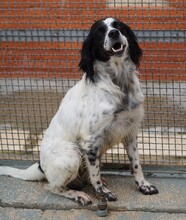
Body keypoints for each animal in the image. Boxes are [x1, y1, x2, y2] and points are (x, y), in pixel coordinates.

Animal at [0, 17, 158, 206]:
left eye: (118, 26)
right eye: (100, 32)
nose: (113, 33)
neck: (118, 83)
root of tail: (40, 165)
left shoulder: (130, 131)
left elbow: (136, 165)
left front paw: (143, 185)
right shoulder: (90, 141)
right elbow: (95, 174)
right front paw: (103, 194)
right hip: (72, 154)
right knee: (53, 187)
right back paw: (78, 194)